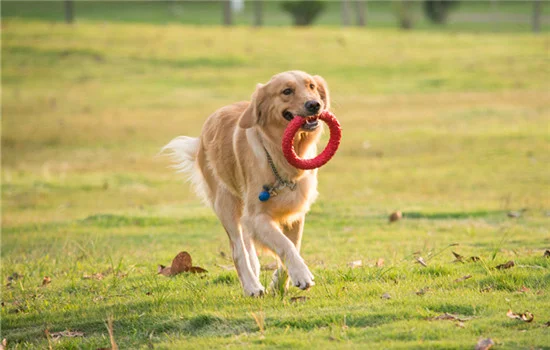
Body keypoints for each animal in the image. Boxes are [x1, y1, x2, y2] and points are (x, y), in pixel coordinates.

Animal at [162, 70, 330, 296]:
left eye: (311, 86)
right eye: (287, 91)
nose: (315, 105)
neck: (278, 154)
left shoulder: (294, 213)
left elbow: (293, 245)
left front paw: (280, 283)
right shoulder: (256, 217)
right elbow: (285, 245)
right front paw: (302, 275)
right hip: (226, 204)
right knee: (238, 250)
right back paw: (251, 286)